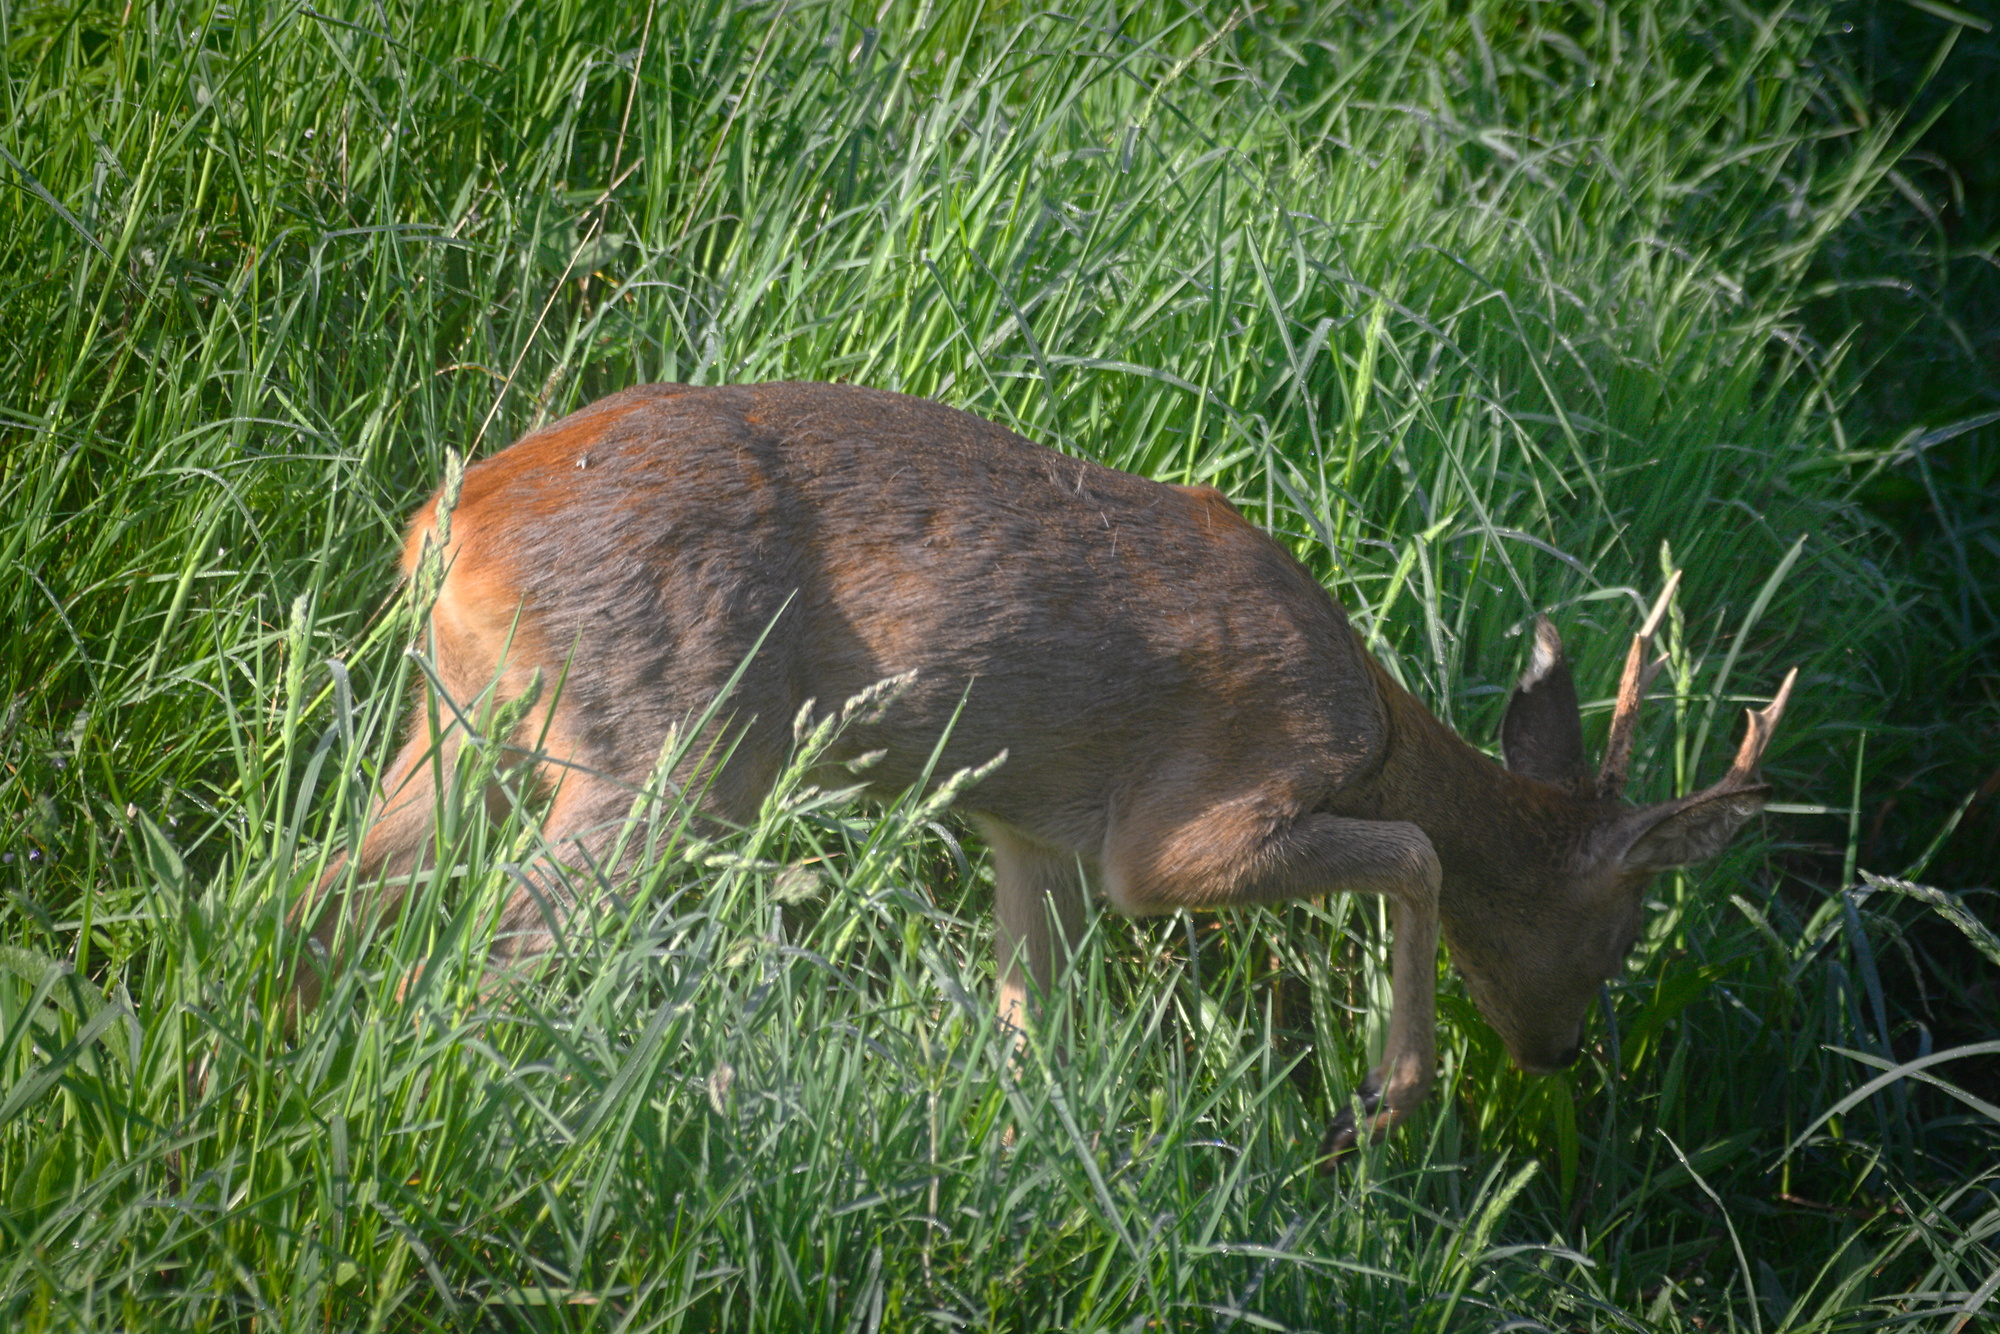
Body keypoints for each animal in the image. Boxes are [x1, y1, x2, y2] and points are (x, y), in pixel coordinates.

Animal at [292, 380, 1800, 1160]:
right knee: (467, 965)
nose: (1557, 1052)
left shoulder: (1039, 838)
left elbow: (1028, 1025)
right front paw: (1380, 1100)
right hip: (660, 752)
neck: (1371, 726)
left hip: (471, 725)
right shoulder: (1176, 832)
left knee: (326, 902)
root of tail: (452, 524)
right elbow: (1421, 857)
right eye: (1623, 925)